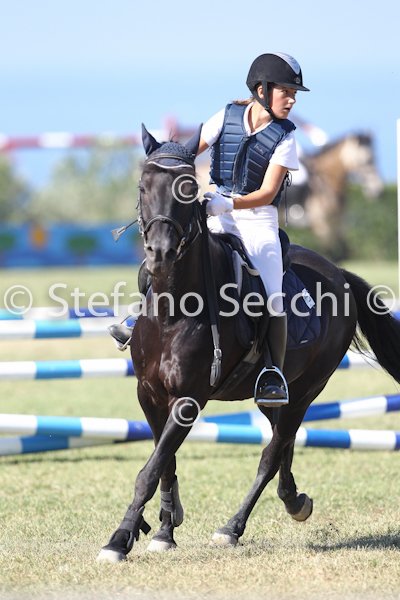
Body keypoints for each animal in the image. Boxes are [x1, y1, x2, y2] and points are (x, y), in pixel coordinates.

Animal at [97, 125, 400, 563]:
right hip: (275, 396)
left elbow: (149, 470)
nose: (160, 254)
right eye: (142, 186)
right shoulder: (149, 393)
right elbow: (164, 463)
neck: (175, 307)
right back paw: (295, 500)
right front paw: (164, 529)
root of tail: (338, 273)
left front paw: (119, 540)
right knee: (283, 442)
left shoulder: (189, 399)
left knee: (271, 454)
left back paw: (233, 528)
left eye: (189, 189)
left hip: (307, 389)